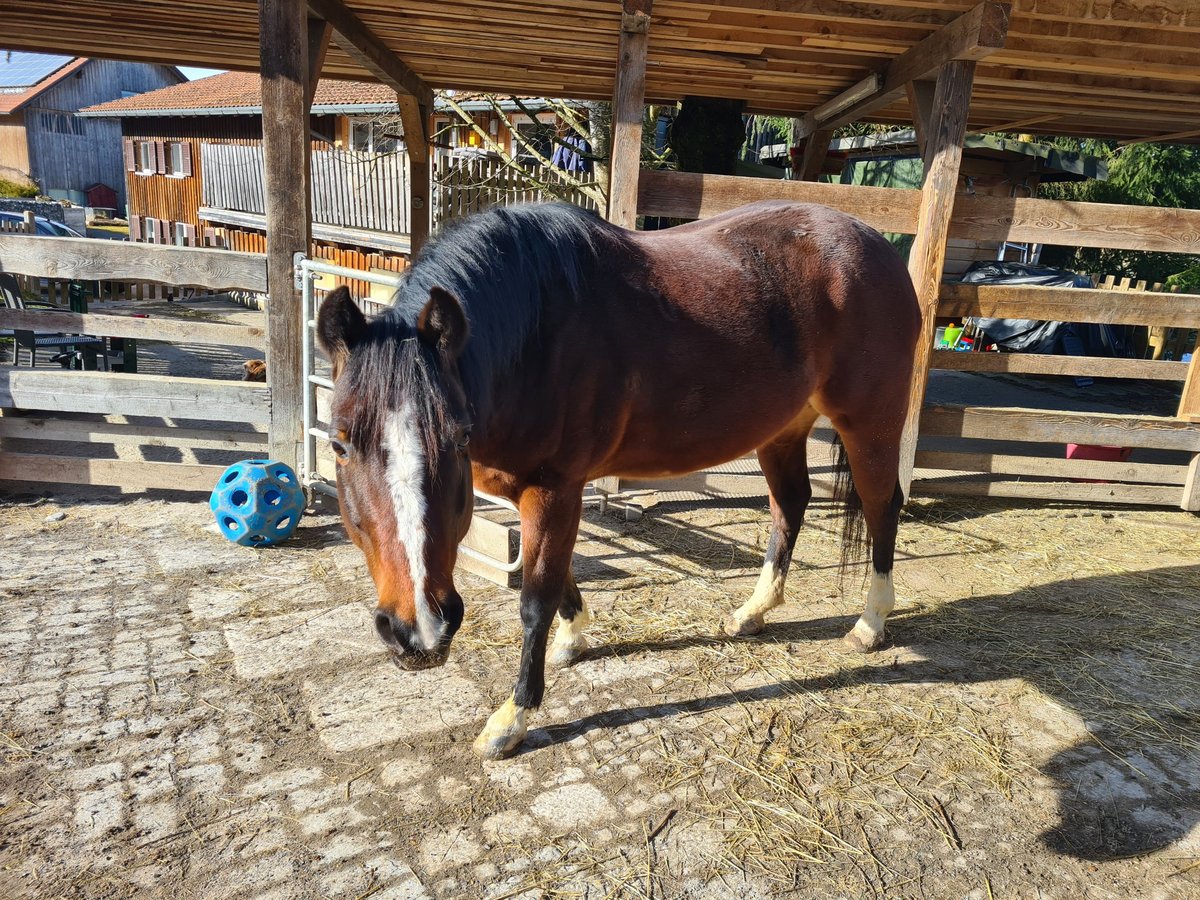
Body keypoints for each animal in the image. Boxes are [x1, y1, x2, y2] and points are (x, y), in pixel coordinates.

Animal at [316, 199, 916, 763]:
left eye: (459, 439)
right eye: (339, 443)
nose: (418, 631)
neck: (535, 334)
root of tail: (876, 246)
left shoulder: (554, 488)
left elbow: (535, 595)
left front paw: (512, 718)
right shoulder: (538, 490)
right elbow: (558, 575)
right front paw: (573, 636)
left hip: (869, 423)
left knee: (882, 507)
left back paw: (870, 623)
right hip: (783, 427)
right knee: (791, 503)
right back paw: (753, 612)